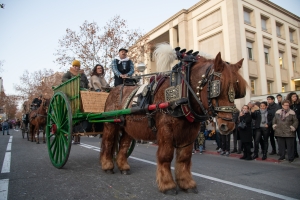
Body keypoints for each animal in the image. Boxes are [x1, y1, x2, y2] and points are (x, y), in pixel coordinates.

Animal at [99, 43, 247, 194]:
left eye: (237, 91)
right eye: (217, 87)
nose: (227, 125)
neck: (182, 92)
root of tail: (112, 90)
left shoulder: (190, 133)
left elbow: (184, 158)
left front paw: (186, 183)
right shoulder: (166, 131)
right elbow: (166, 156)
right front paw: (167, 184)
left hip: (128, 128)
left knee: (123, 145)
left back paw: (123, 167)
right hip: (110, 124)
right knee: (108, 143)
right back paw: (107, 165)